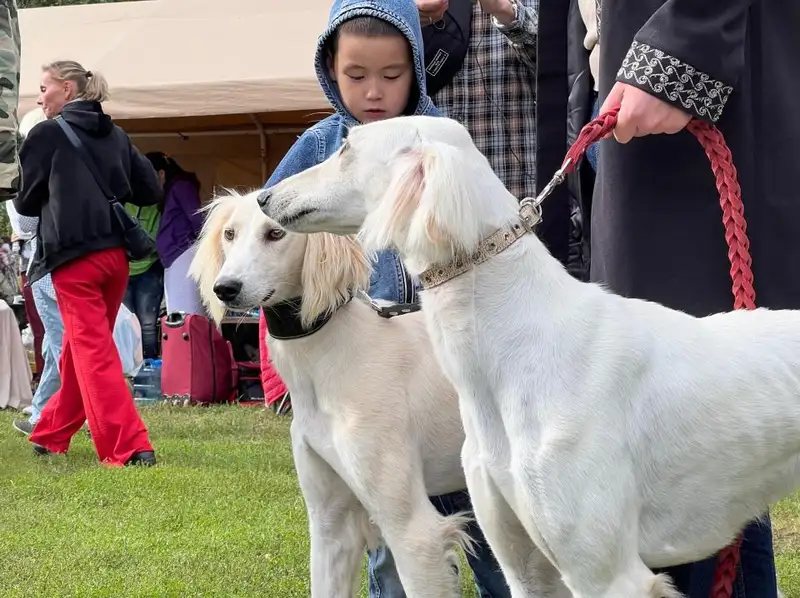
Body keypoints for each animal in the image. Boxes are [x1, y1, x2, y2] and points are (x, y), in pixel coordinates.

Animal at [188, 191, 482, 598]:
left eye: (275, 233)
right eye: (230, 233)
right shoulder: (331, 524)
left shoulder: (414, 533)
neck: (331, 355)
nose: (225, 288)